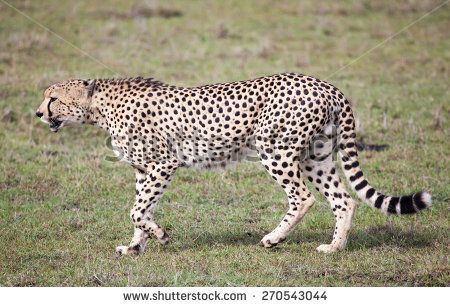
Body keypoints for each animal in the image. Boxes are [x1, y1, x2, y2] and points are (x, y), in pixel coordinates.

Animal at [37, 73, 430, 255]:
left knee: (302, 197)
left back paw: (274, 238)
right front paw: (135, 247)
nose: (38, 113)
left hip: (275, 150)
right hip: (315, 156)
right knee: (343, 199)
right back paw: (334, 248)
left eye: (53, 98)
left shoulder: (163, 165)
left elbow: (136, 210)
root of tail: (325, 84)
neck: (99, 106)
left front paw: (160, 237)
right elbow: (140, 210)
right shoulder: (145, 171)